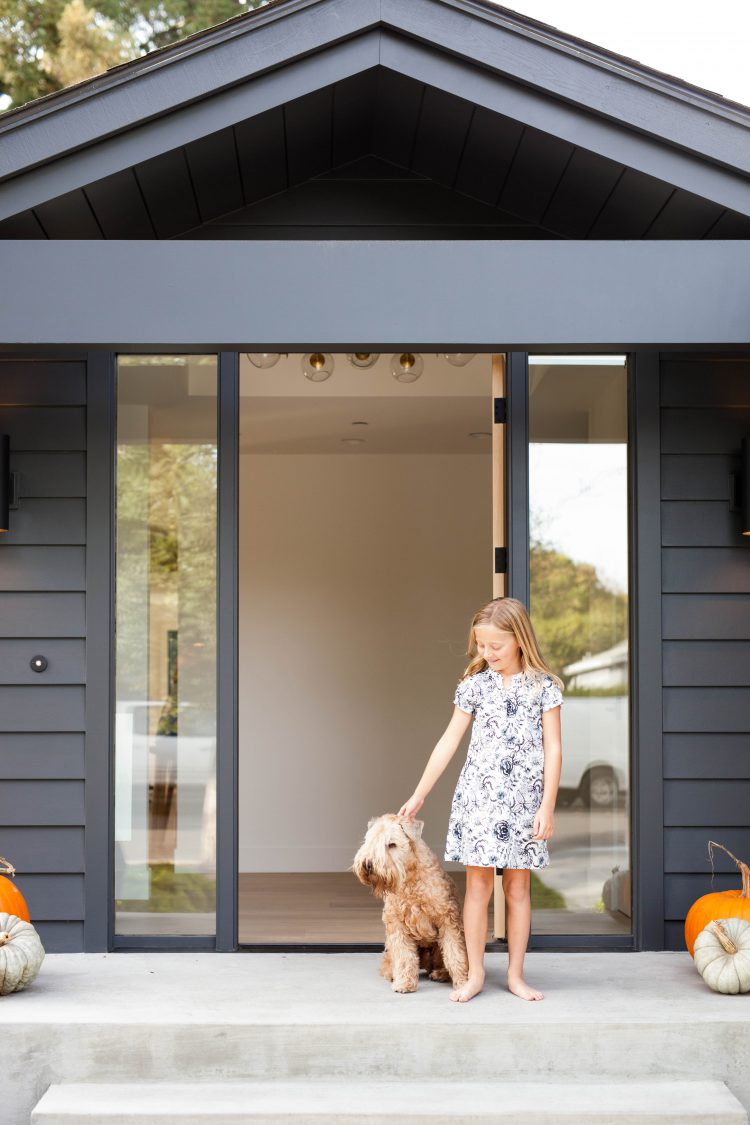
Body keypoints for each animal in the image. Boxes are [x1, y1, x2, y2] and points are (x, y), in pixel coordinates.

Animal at [353, 814, 470, 990]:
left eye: (392, 844)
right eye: (370, 840)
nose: (368, 864)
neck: (409, 878)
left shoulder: (447, 920)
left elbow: (455, 954)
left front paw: (463, 983)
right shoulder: (397, 924)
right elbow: (404, 956)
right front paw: (404, 983)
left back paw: (440, 974)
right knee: (390, 962)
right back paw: (392, 974)